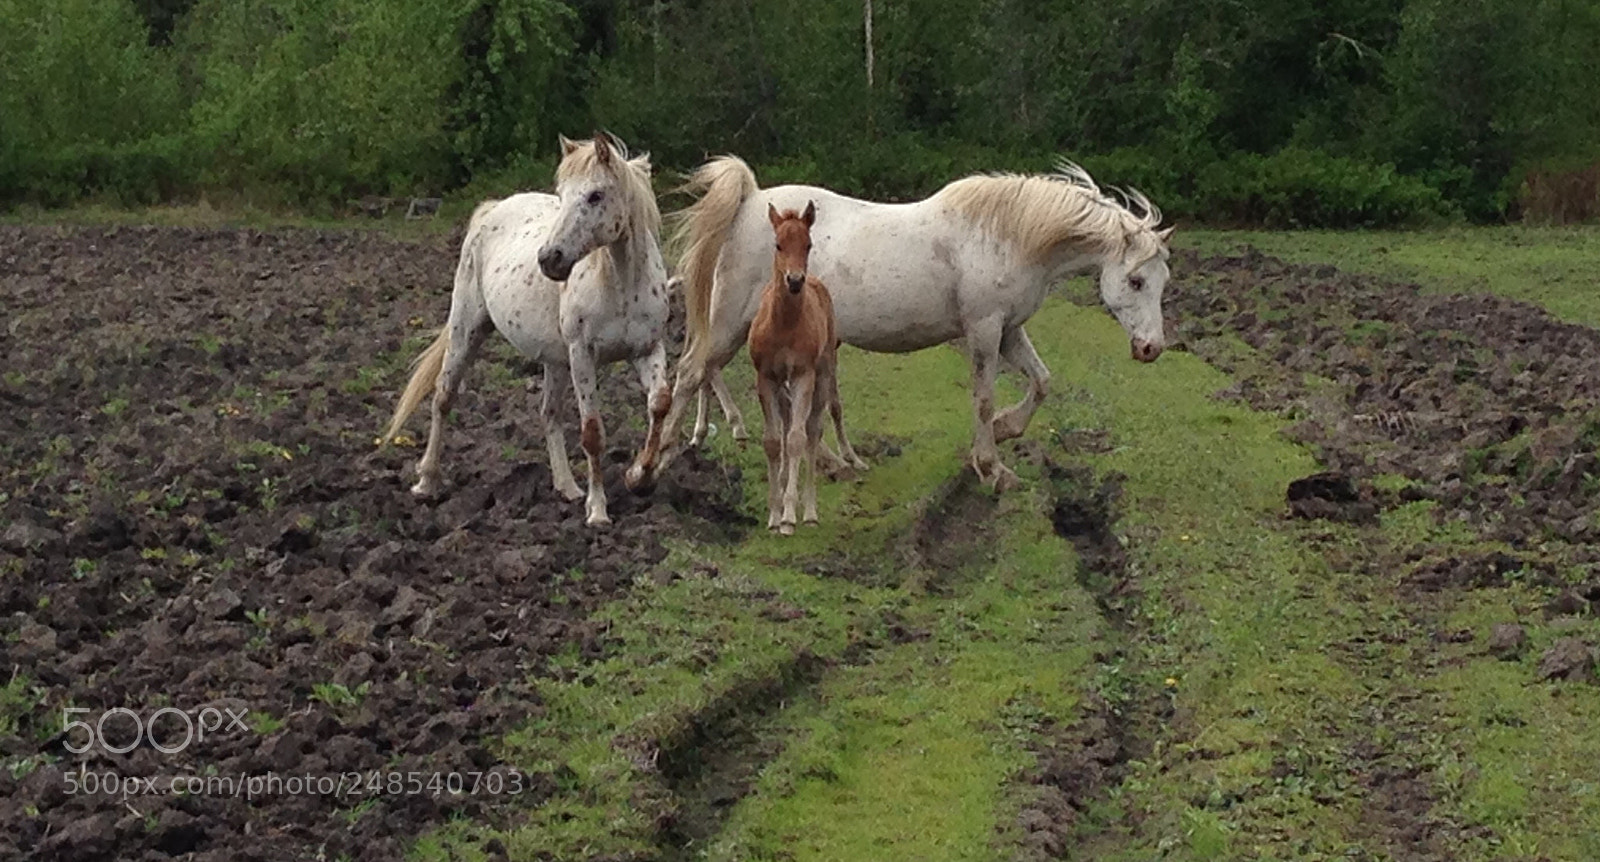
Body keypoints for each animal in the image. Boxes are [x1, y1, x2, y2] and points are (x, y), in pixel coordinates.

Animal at [381, 132, 672, 527]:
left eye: (595, 195)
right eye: (562, 193)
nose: (550, 259)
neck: (622, 284)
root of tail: (492, 209)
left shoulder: (647, 349)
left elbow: (660, 404)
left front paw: (639, 476)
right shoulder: (582, 355)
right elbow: (592, 433)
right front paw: (598, 512)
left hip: (555, 360)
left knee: (549, 414)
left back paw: (567, 487)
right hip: (467, 329)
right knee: (443, 397)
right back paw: (427, 482)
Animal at [627, 155, 1173, 492]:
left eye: (1164, 281)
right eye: (1137, 281)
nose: (1152, 349)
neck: (1006, 235)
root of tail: (749, 204)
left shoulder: (1009, 329)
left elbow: (1041, 382)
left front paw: (1005, 431)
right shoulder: (984, 329)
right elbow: (983, 397)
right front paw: (992, 467)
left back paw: (830, 463)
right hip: (728, 325)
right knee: (690, 374)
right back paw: (647, 468)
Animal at [749, 201, 854, 534]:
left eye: (808, 244)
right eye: (778, 244)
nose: (795, 281)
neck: (782, 326)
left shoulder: (802, 375)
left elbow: (796, 439)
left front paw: (788, 517)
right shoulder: (765, 377)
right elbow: (772, 442)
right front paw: (773, 514)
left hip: (823, 373)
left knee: (812, 430)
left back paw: (809, 511)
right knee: (786, 424)